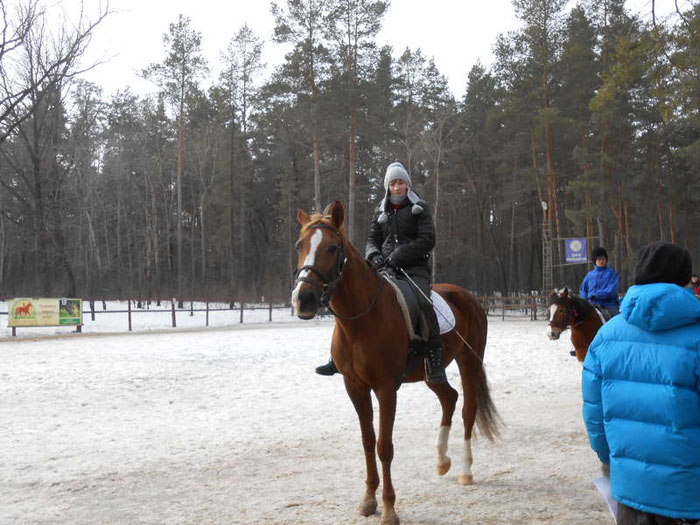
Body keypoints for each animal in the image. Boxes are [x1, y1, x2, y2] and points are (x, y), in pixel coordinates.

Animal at [292, 201, 500, 524]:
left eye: (332, 248)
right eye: (300, 245)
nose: (303, 299)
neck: (361, 320)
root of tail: (468, 297)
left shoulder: (386, 389)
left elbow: (384, 446)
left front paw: (389, 509)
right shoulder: (355, 387)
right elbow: (367, 441)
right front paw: (368, 500)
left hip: (469, 362)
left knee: (468, 410)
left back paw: (465, 471)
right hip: (431, 372)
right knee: (449, 398)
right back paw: (442, 461)